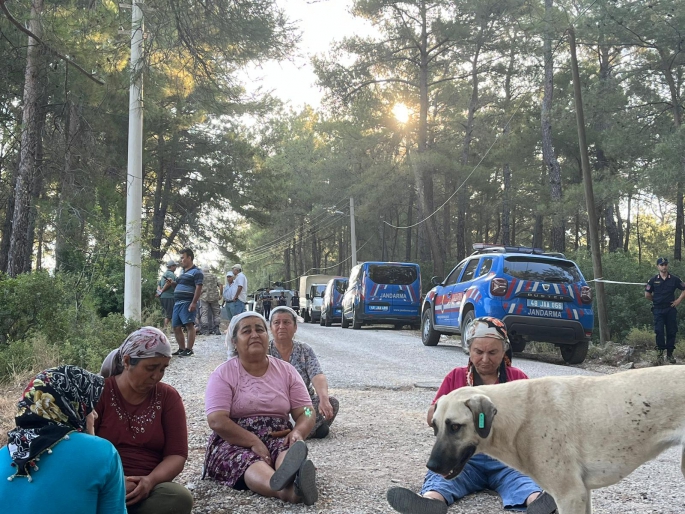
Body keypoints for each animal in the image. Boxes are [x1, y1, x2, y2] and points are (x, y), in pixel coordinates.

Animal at [430, 366, 680, 512]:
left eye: (455, 427)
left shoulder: (570, 495)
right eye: (434, 426)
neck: (519, 417)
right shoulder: (583, 494)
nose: (430, 466)